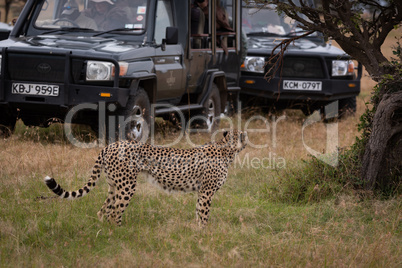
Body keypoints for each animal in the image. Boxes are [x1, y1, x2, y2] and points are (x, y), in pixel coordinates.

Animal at [45, 130, 250, 226]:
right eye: (242, 135)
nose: (247, 136)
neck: (227, 149)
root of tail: (111, 145)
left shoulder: (202, 192)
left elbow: (198, 212)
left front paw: (197, 231)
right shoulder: (207, 192)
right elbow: (204, 213)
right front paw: (204, 232)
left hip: (113, 186)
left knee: (103, 211)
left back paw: (105, 232)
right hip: (127, 186)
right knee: (115, 212)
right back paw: (120, 233)